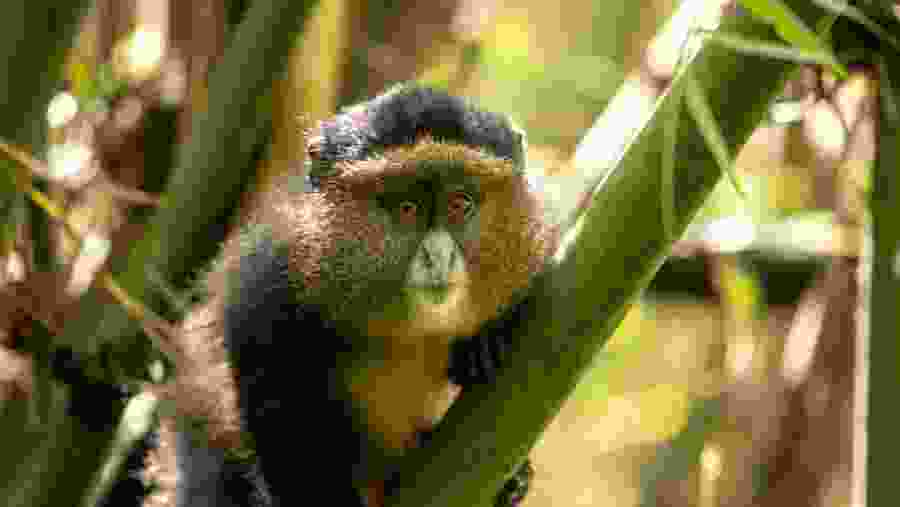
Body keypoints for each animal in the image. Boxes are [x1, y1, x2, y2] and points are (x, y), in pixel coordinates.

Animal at [100, 83, 559, 507]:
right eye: (407, 208)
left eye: (460, 203)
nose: (438, 256)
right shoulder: (267, 290)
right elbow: (288, 432)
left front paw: (485, 340)